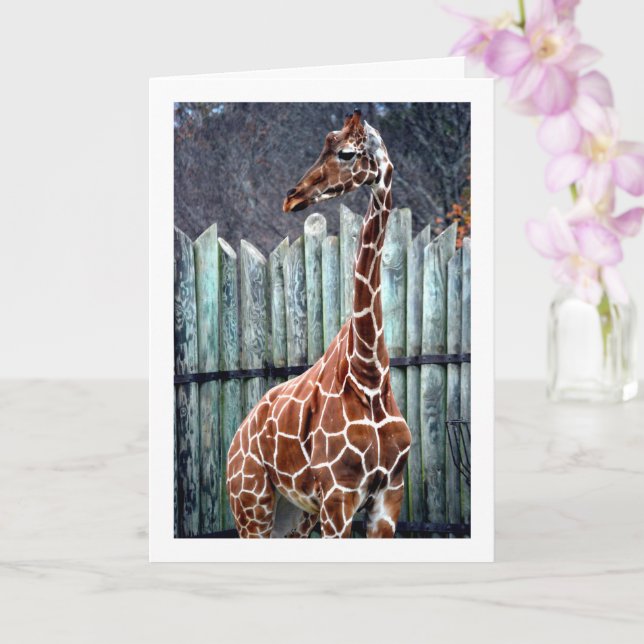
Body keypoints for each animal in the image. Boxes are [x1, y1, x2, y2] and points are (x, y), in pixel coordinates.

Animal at [226, 109, 411, 538]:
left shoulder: (388, 498)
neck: (369, 375)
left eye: (346, 153)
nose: (291, 196)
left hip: (294, 514)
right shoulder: (338, 498)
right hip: (251, 506)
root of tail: (236, 438)